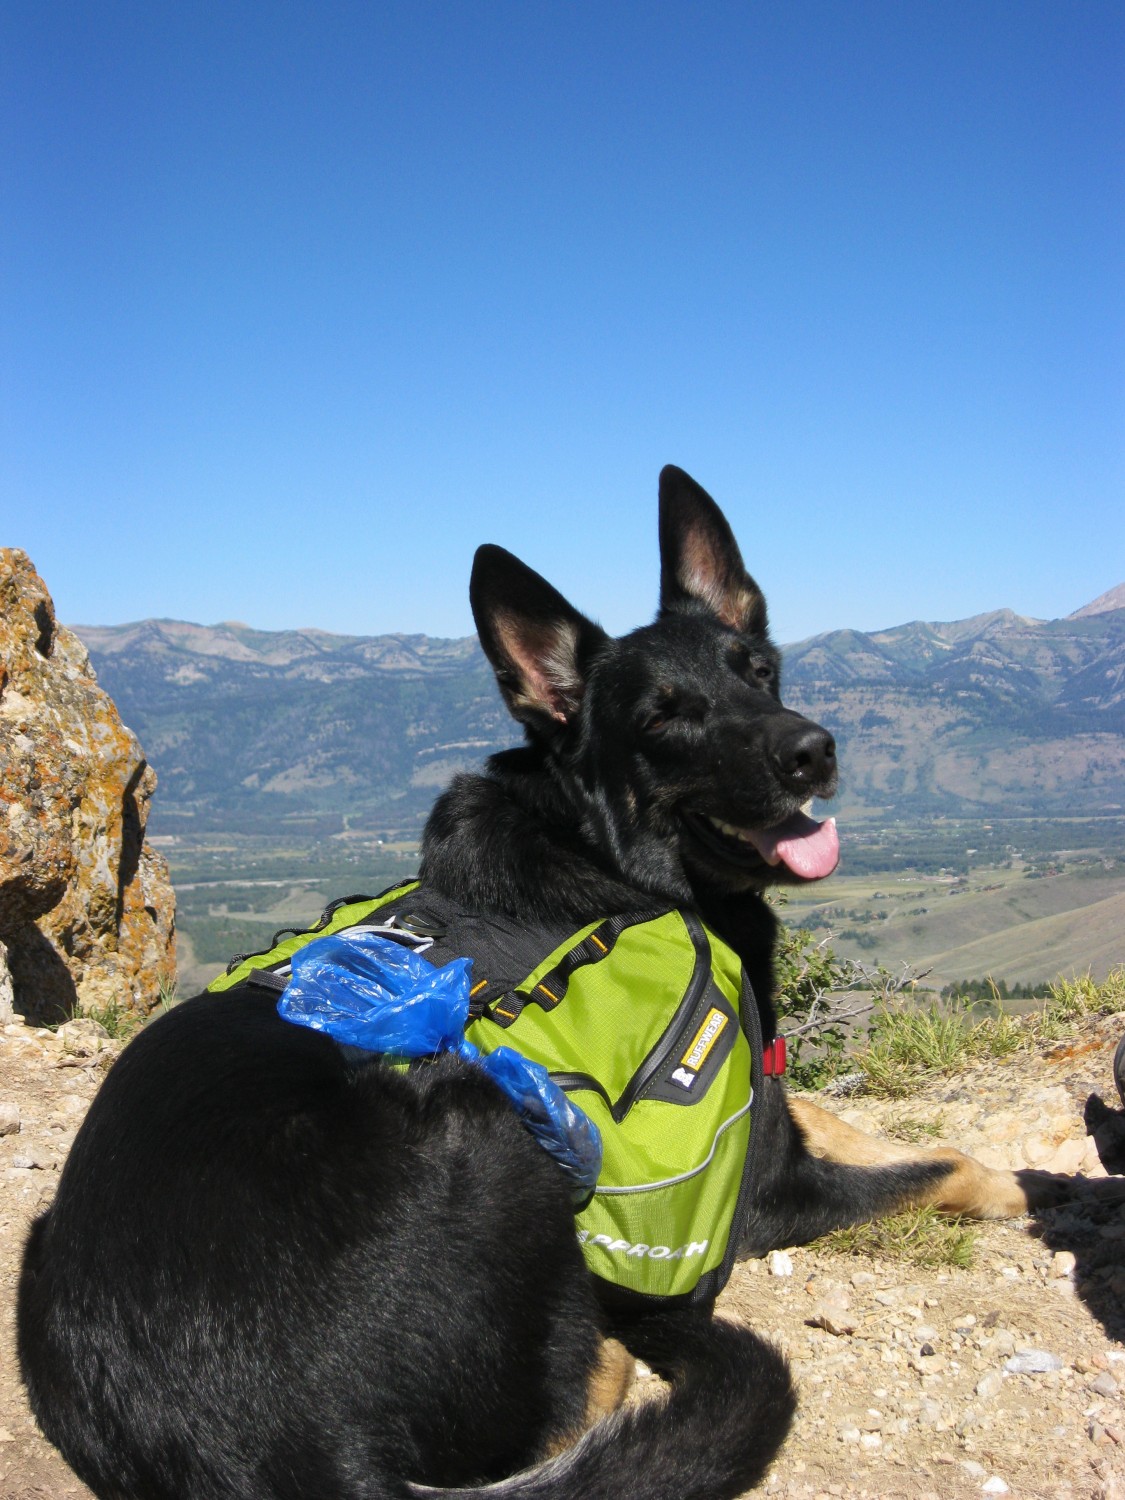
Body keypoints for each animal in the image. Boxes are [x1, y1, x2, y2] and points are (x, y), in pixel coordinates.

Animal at [17, 471, 1038, 1500]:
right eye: (662, 716)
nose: (812, 749)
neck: (602, 850)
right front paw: (1014, 1187)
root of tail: (302, 1456)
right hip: (497, 1120)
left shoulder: (771, 1113)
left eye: (756, 670)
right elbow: (936, 1167)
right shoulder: (765, 1193)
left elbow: (843, 1118)